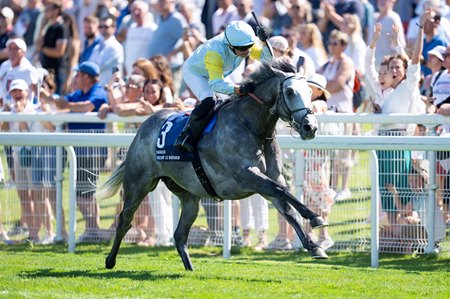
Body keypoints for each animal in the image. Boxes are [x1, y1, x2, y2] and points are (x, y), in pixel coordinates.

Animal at [96, 59, 328, 272]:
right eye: (289, 91)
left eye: (309, 91)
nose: (310, 127)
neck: (252, 127)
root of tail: (143, 126)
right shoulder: (247, 175)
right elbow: (282, 191)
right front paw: (315, 217)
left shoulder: (267, 180)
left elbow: (287, 207)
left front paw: (314, 245)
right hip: (139, 184)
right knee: (125, 220)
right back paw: (110, 261)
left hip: (190, 195)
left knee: (179, 234)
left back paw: (190, 269)